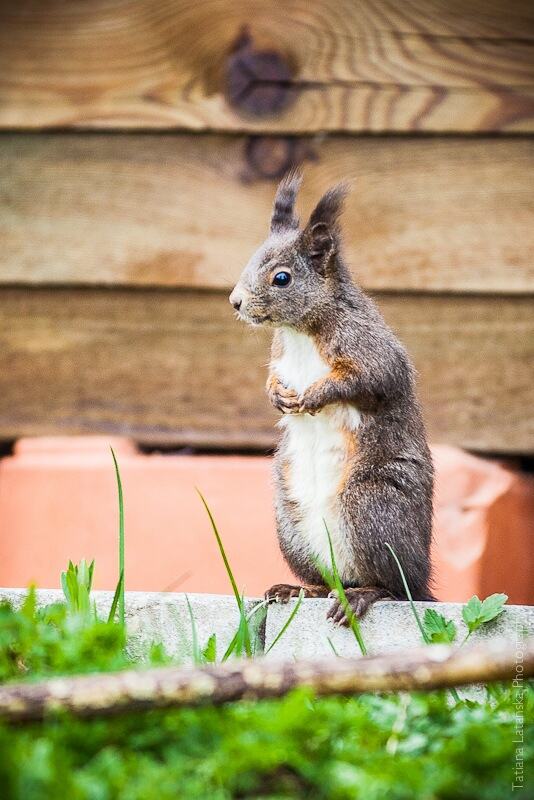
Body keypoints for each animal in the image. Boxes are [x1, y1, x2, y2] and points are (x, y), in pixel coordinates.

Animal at [229, 172, 434, 625]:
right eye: (251, 260)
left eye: (282, 278)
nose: (235, 301)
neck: (299, 330)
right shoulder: (280, 356)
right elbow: (272, 377)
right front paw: (276, 393)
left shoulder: (369, 347)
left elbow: (370, 378)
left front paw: (314, 395)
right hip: (291, 526)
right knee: (328, 580)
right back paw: (300, 588)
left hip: (370, 506)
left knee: (396, 588)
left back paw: (364, 594)